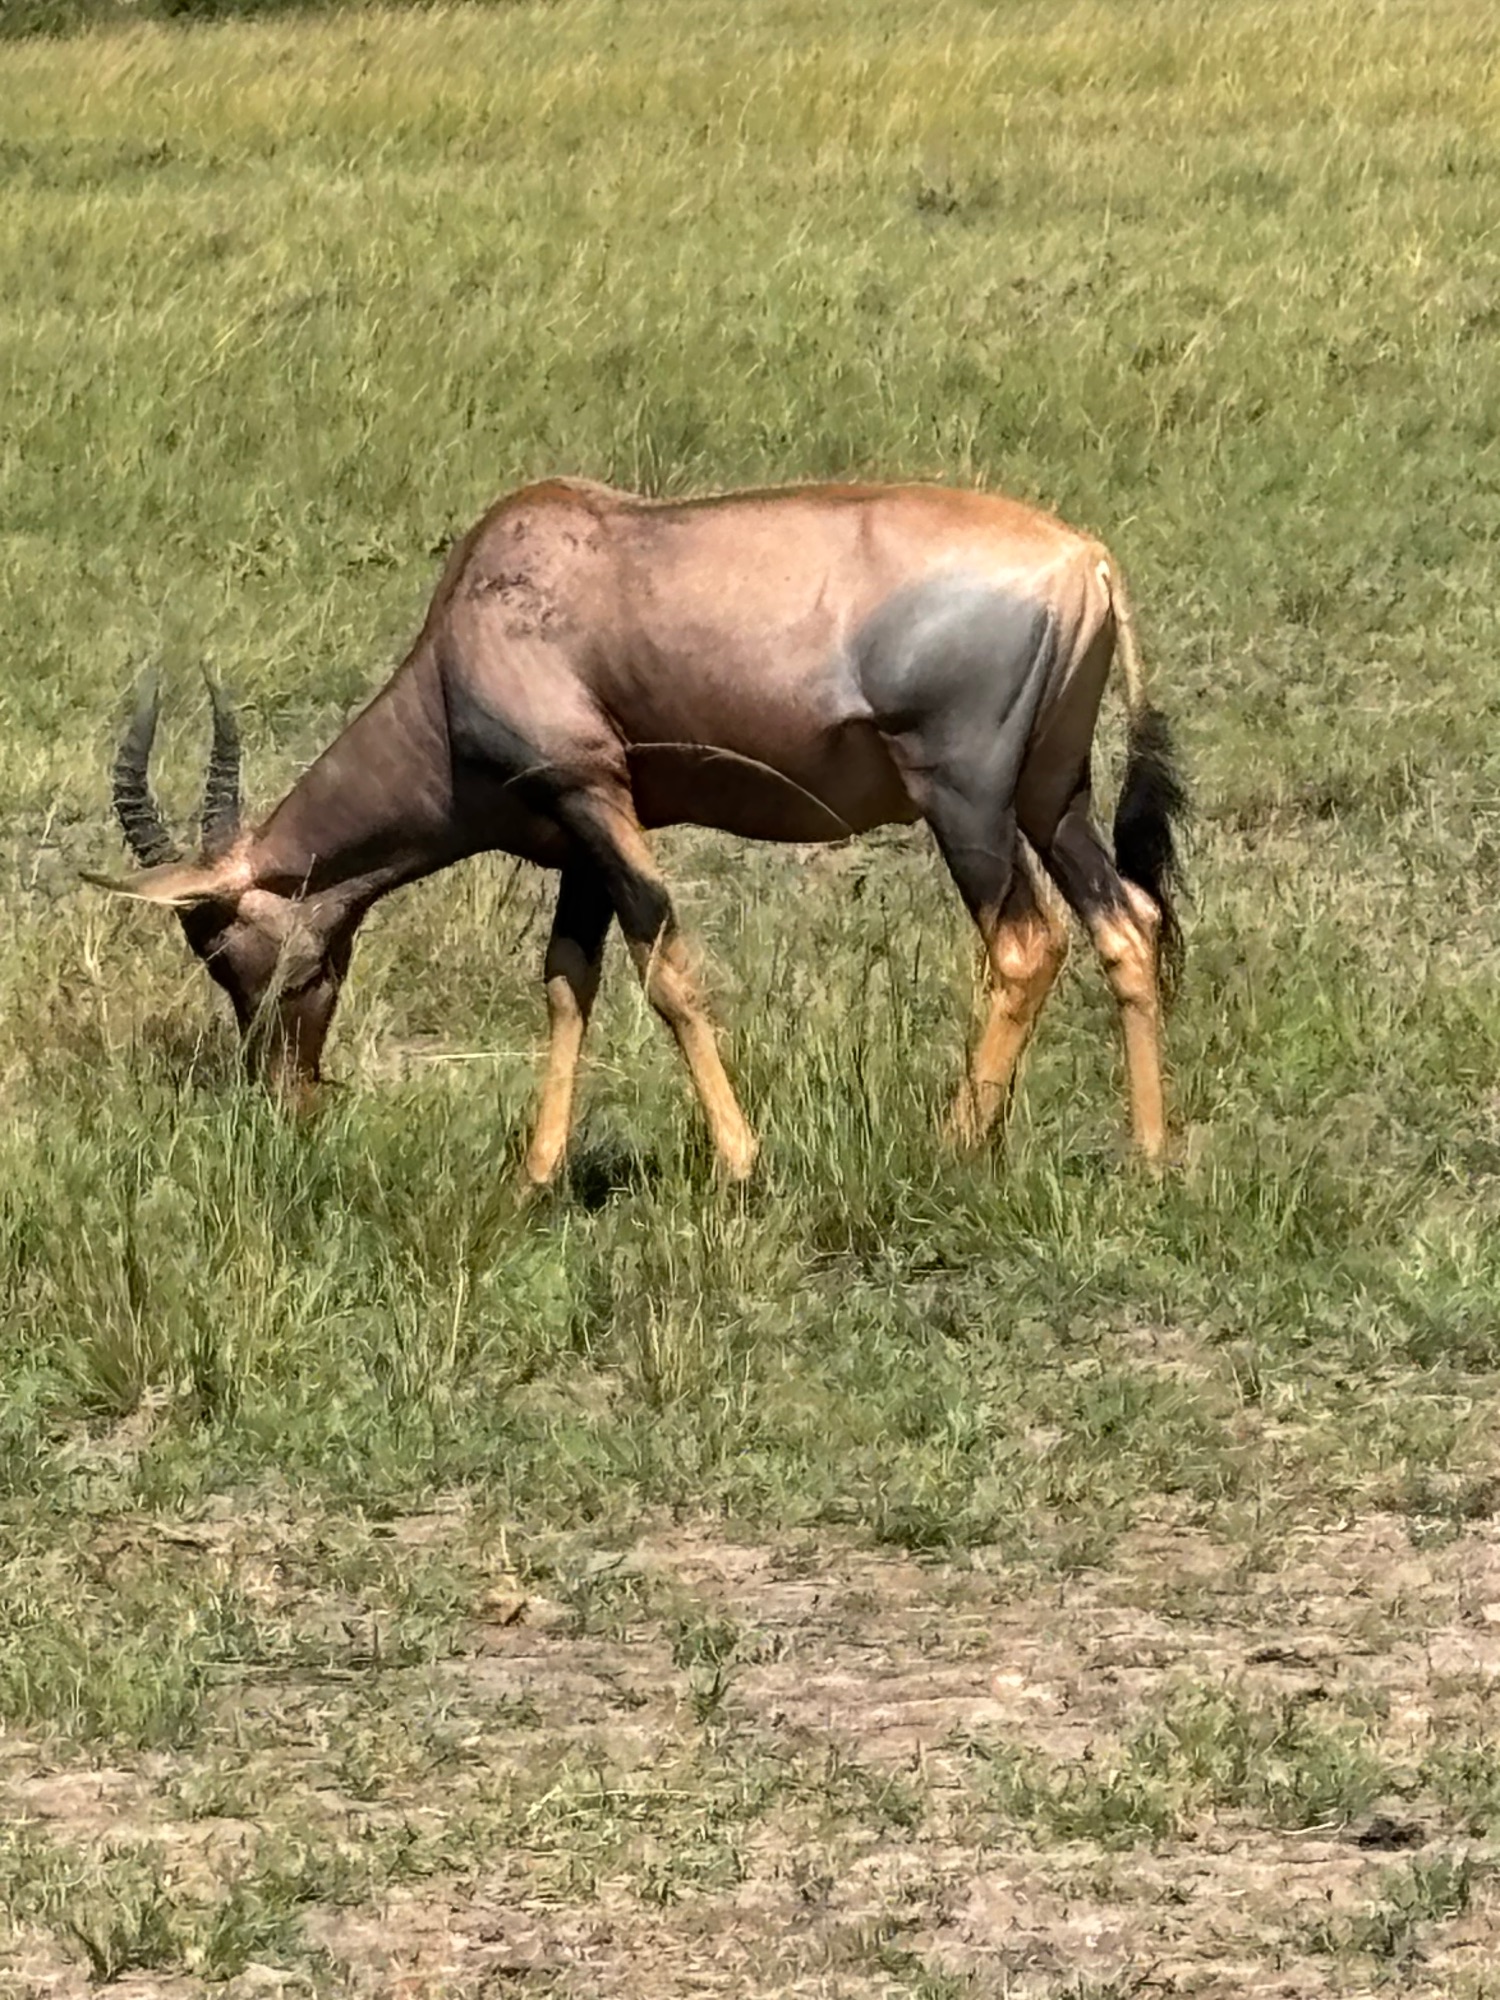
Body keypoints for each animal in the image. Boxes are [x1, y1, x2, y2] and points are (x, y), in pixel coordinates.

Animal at [85, 478, 1186, 1181]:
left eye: (223, 948)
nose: (289, 1103)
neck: (483, 612)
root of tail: (1086, 562)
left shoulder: (594, 796)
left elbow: (665, 961)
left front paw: (740, 1162)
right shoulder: (581, 835)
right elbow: (569, 980)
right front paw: (537, 1174)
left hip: (965, 800)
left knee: (1026, 941)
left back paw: (953, 1150)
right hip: (1053, 797)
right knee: (1125, 921)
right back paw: (1150, 1153)